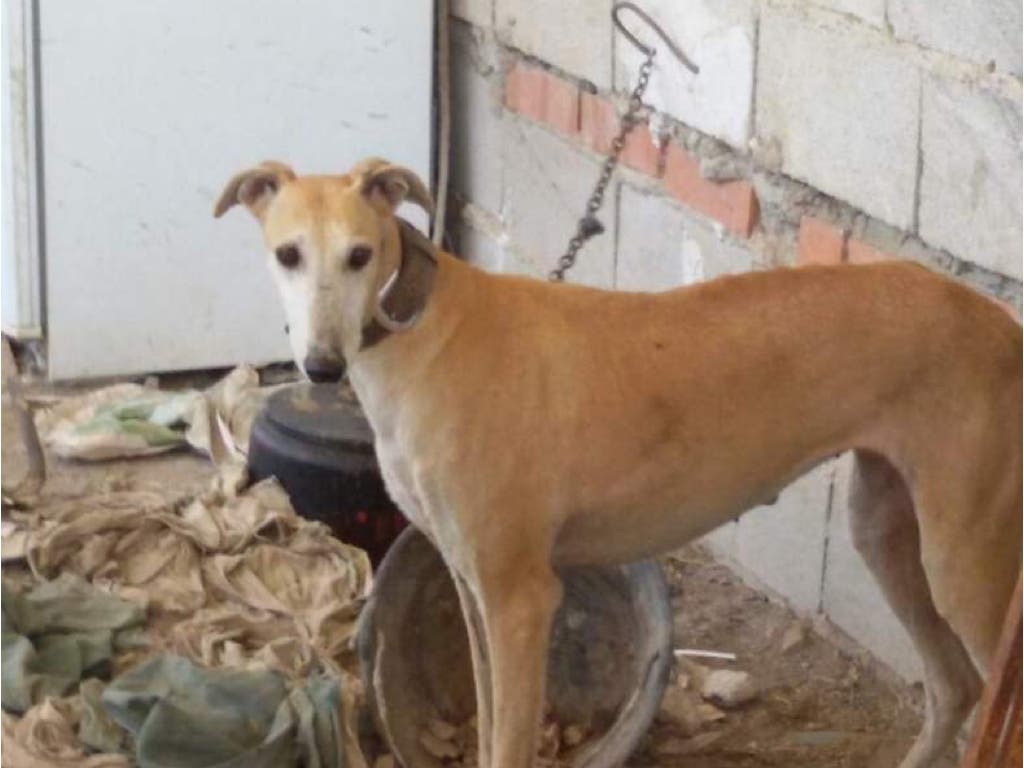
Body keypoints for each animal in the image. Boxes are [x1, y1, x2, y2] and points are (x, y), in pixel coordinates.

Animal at [218, 159, 1024, 765]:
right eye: (288, 254)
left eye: (359, 254)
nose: (322, 367)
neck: (423, 332)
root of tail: (1002, 323)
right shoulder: (471, 584)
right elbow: (488, 727)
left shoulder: (520, 598)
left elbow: (510, 743)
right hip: (886, 531)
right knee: (953, 685)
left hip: (967, 566)